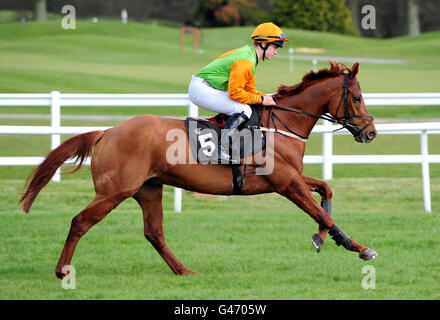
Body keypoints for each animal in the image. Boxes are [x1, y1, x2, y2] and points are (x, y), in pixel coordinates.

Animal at [20, 61, 378, 278]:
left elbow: (326, 192)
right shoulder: (285, 181)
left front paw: (324, 239)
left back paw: (184, 271)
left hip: (148, 189)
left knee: (154, 232)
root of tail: (107, 131)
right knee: (80, 221)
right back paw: (63, 271)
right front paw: (358, 247)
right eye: (357, 98)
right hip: (115, 190)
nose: (371, 132)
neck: (282, 124)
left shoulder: (290, 177)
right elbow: (320, 212)